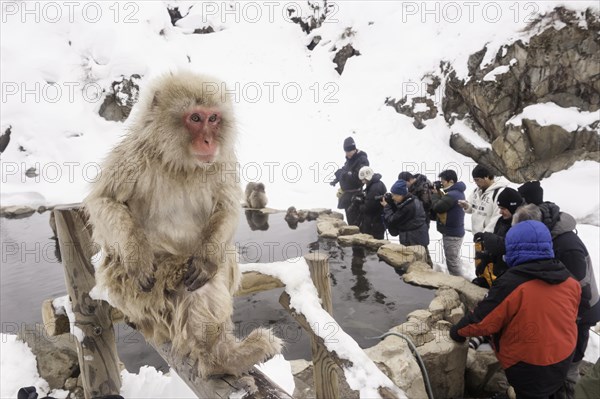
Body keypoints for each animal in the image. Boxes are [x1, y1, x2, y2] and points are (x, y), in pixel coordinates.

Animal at [84, 72, 284, 378]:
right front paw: (137, 259)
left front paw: (206, 260)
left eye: (213, 118)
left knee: (218, 259)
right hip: (134, 293)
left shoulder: (222, 160)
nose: (208, 140)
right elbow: (104, 201)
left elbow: (226, 206)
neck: (180, 164)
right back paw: (222, 358)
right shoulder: (132, 155)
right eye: (195, 118)